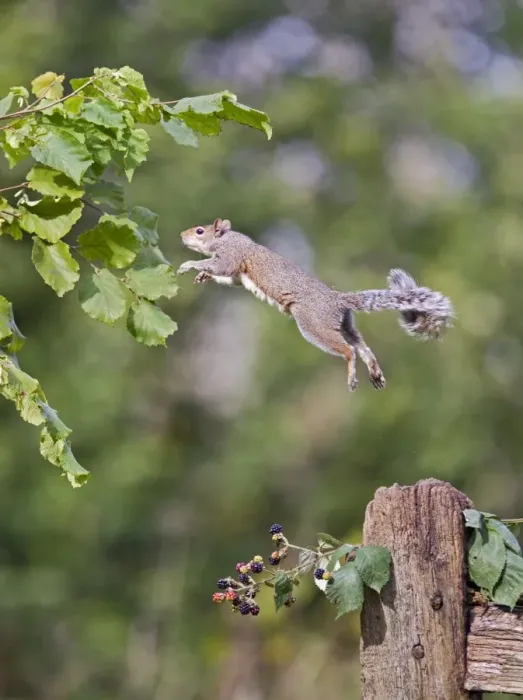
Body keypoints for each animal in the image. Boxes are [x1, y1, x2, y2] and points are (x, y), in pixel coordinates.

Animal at [177, 218, 454, 391]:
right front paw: (203, 275)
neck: (227, 238)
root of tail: (338, 300)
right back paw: (374, 371)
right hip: (343, 324)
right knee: (361, 345)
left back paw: (352, 374)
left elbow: (220, 267)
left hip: (313, 324)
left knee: (349, 350)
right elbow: (227, 277)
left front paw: (190, 265)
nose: (181, 235)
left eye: (200, 231)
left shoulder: (232, 256)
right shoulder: (236, 273)